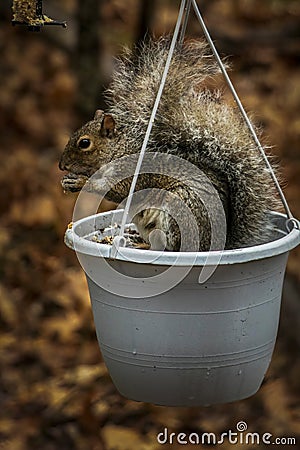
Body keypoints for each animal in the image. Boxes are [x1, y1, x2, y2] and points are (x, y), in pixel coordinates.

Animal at [59, 37, 282, 251]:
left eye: (84, 143)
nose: (61, 166)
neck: (119, 150)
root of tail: (216, 245)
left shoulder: (131, 171)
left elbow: (118, 190)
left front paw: (79, 181)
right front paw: (68, 181)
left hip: (179, 208)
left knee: (172, 248)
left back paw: (145, 245)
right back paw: (137, 239)